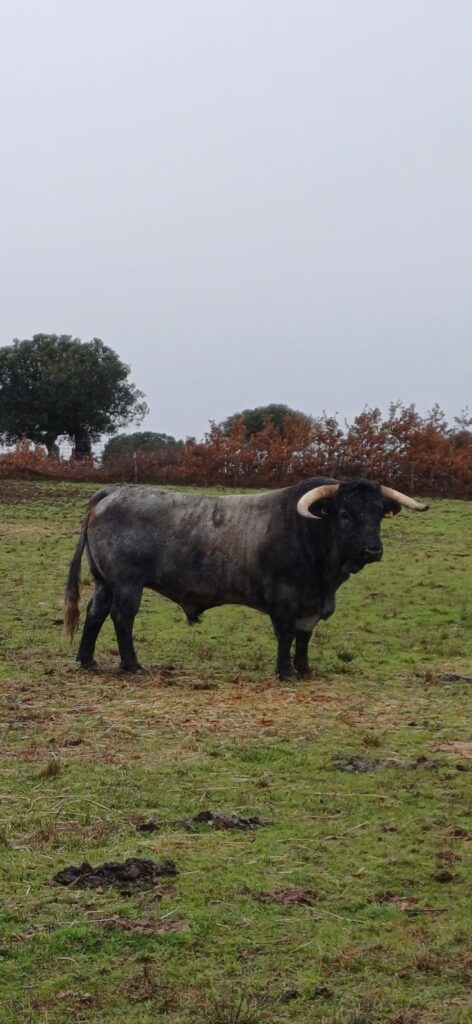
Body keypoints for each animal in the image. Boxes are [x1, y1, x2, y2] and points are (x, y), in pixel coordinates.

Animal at [64, 478, 428, 679]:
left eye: (378, 513)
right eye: (345, 513)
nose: (373, 549)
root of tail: (113, 491)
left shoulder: (312, 603)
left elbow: (304, 636)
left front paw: (304, 669)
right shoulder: (283, 597)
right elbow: (286, 634)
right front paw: (286, 672)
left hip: (104, 582)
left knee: (95, 613)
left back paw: (87, 660)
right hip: (127, 583)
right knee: (122, 618)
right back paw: (133, 665)